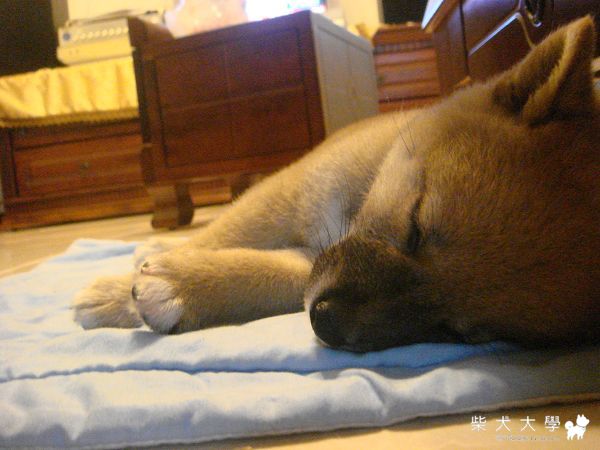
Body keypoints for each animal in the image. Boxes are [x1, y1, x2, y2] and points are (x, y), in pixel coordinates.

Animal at [73, 17, 599, 352]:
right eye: (415, 226)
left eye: (462, 332)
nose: (326, 323)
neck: (358, 200)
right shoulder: (283, 196)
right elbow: (220, 237)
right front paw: (117, 292)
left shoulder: (314, 259)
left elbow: (268, 274)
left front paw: (182, 286)